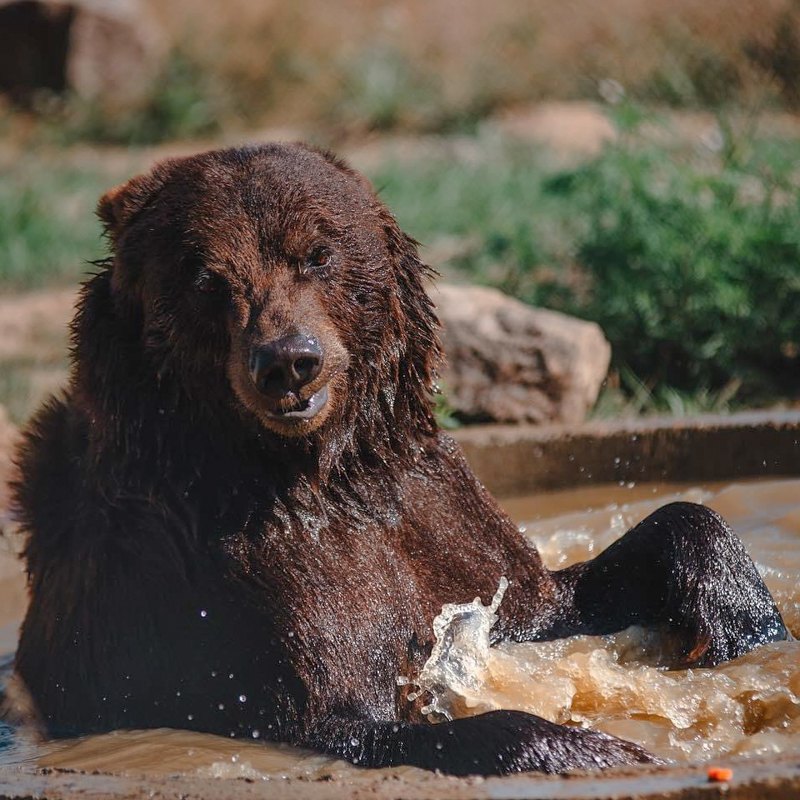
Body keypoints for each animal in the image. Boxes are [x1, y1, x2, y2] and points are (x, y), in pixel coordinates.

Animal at [9, 144, 792, 776]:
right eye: (205, 277)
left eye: (317, 253)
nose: (288, 361)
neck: (324, 470)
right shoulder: (217, 585)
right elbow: (343, 710)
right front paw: (604, 750)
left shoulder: (432, 509)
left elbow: (552, 597)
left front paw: (734, 618)